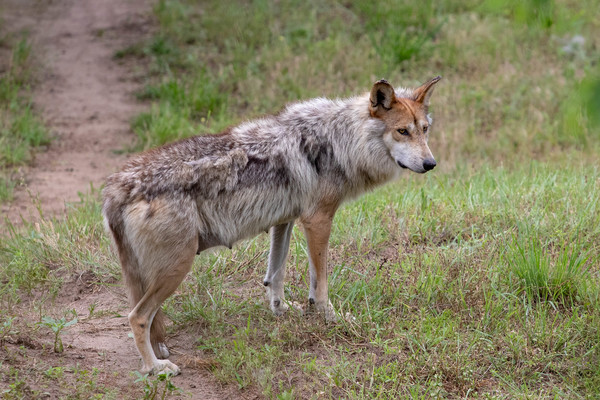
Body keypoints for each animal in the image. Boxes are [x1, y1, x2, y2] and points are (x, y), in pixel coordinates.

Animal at [102, 76, 440, 376]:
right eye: (402, 131)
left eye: (424, 130)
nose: (431, 164)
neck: (339, 141)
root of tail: (115, 188)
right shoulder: (318, 220)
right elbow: (320, 284)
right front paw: (331, 317)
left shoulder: (284, 220)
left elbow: (275, 274)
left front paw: (281, 311)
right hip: (176, 267)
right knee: (137, 317)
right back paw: (155, 368)